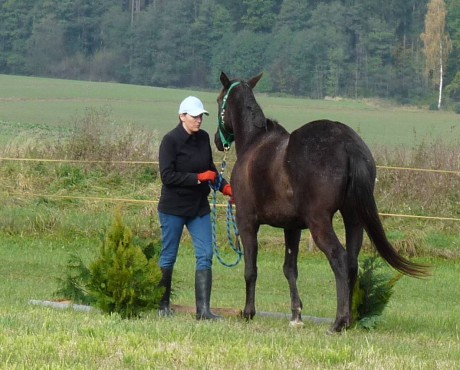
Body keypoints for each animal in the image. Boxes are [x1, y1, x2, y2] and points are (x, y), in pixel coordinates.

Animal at [214, 71, 430, 332]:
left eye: (218, 100)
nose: (217, 141)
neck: (255, 143)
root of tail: (347, 142)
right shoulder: (292, 227)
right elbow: (290, 269)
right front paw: (296, 316)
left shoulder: (246, 221)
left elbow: (250, 269)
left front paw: (248, 312)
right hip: (353, 219)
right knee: (352, 262)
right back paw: (349, 319)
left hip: (319, 222)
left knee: (339, 258)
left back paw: (339, 322)